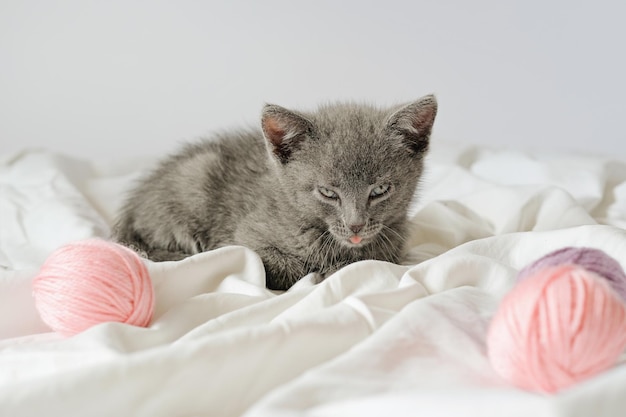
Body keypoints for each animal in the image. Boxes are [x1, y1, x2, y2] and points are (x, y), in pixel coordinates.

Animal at [111, 94, 434, 290]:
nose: (356, 225)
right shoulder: (244, 239)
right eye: (328, 193)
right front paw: (324, 273)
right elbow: (287, 268)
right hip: (195, 176)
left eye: (380, 189)